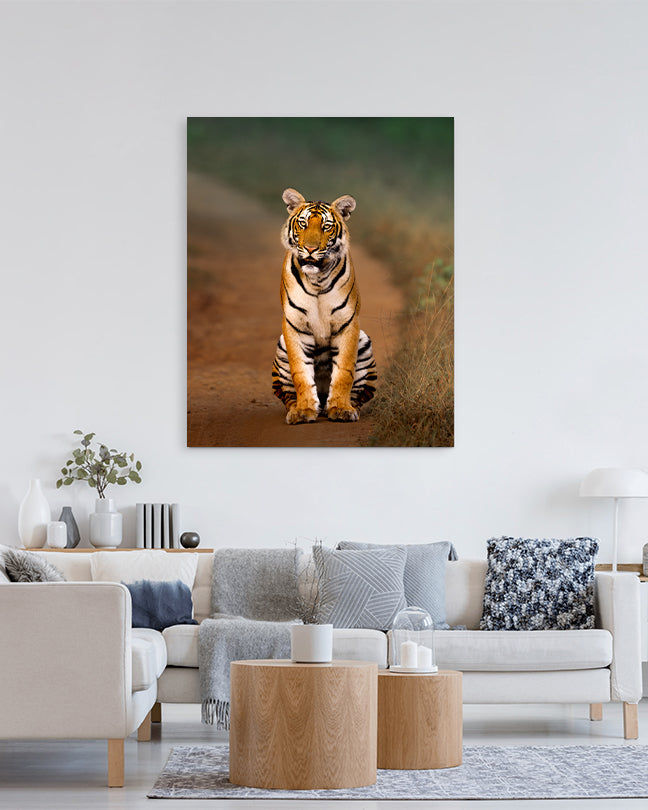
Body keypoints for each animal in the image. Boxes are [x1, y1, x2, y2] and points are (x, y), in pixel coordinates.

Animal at [271, 188, 377, 425]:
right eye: (302, 224)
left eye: (326, 227)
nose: (310, 249)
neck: (316, 279)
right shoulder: (295, 326)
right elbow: (300, 373)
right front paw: (303, 411)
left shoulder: (348, 324)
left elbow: (344, 372)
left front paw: (341, 409)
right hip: (281, 347)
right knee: (288, 395)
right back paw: (300, 408)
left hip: (364, 342)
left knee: (359, 395)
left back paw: (342, 407)